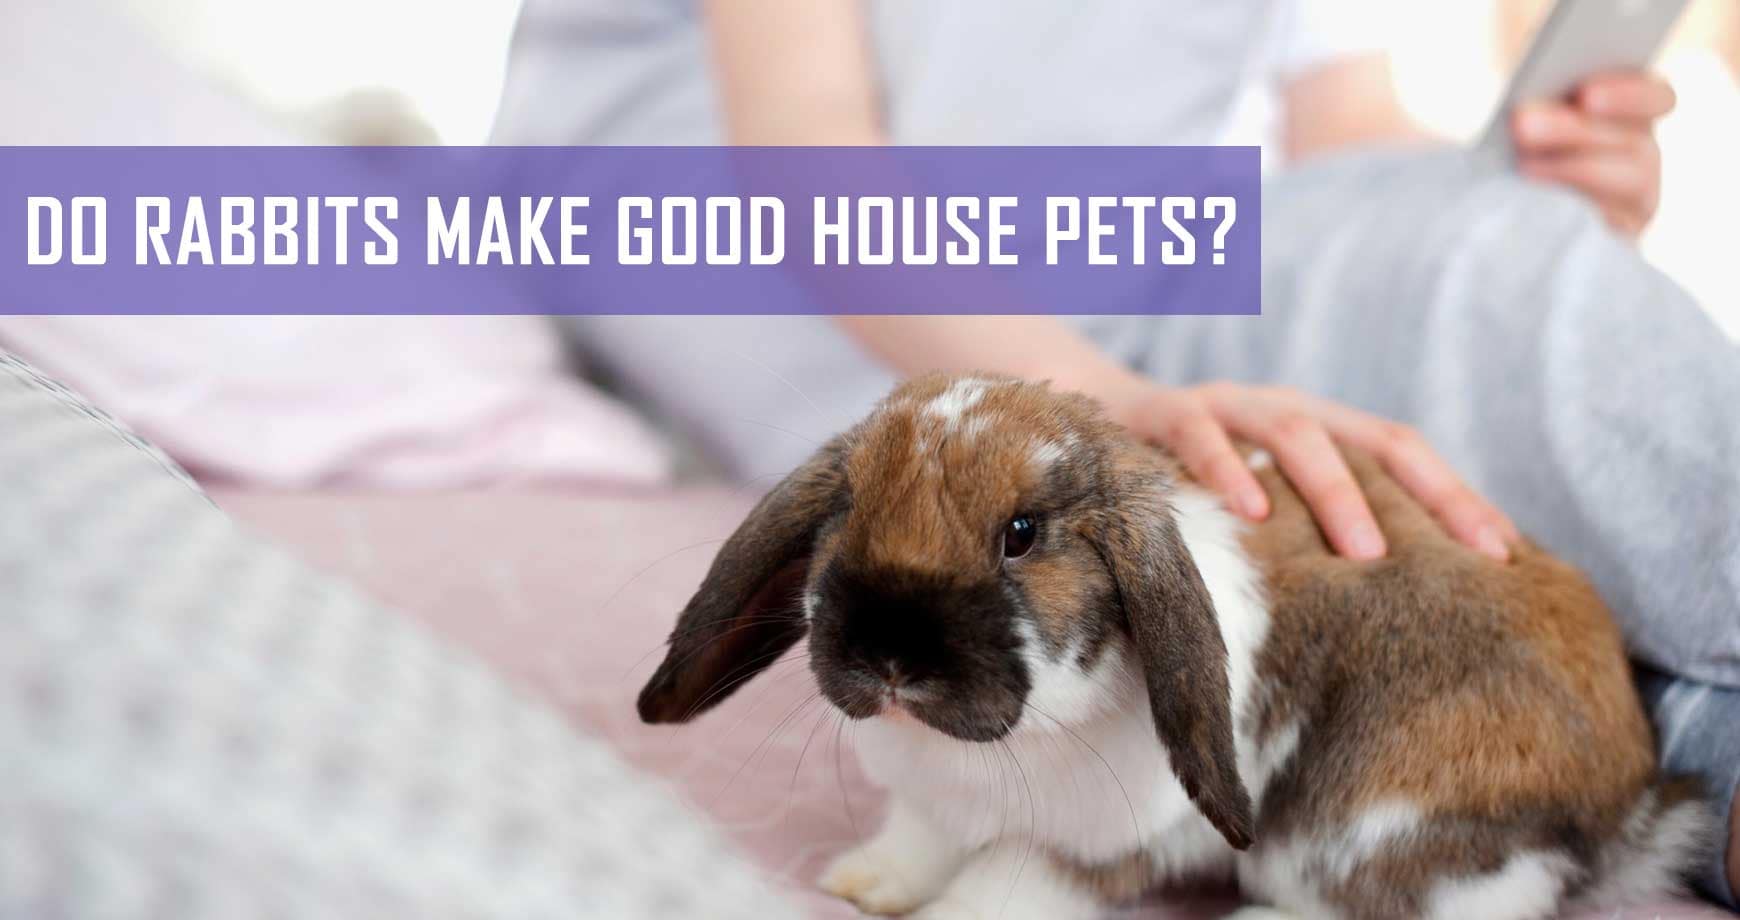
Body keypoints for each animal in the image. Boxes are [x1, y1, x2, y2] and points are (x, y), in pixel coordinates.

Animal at [637, 373, 1709, 920]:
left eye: (1022, 532)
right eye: (848, 507)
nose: (892, 659)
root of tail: (1625, 811)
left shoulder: (1084, 850)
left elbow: (995, 891)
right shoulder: (933, 807)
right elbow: (917, 842)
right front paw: (864, 887)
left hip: (1366, 826)